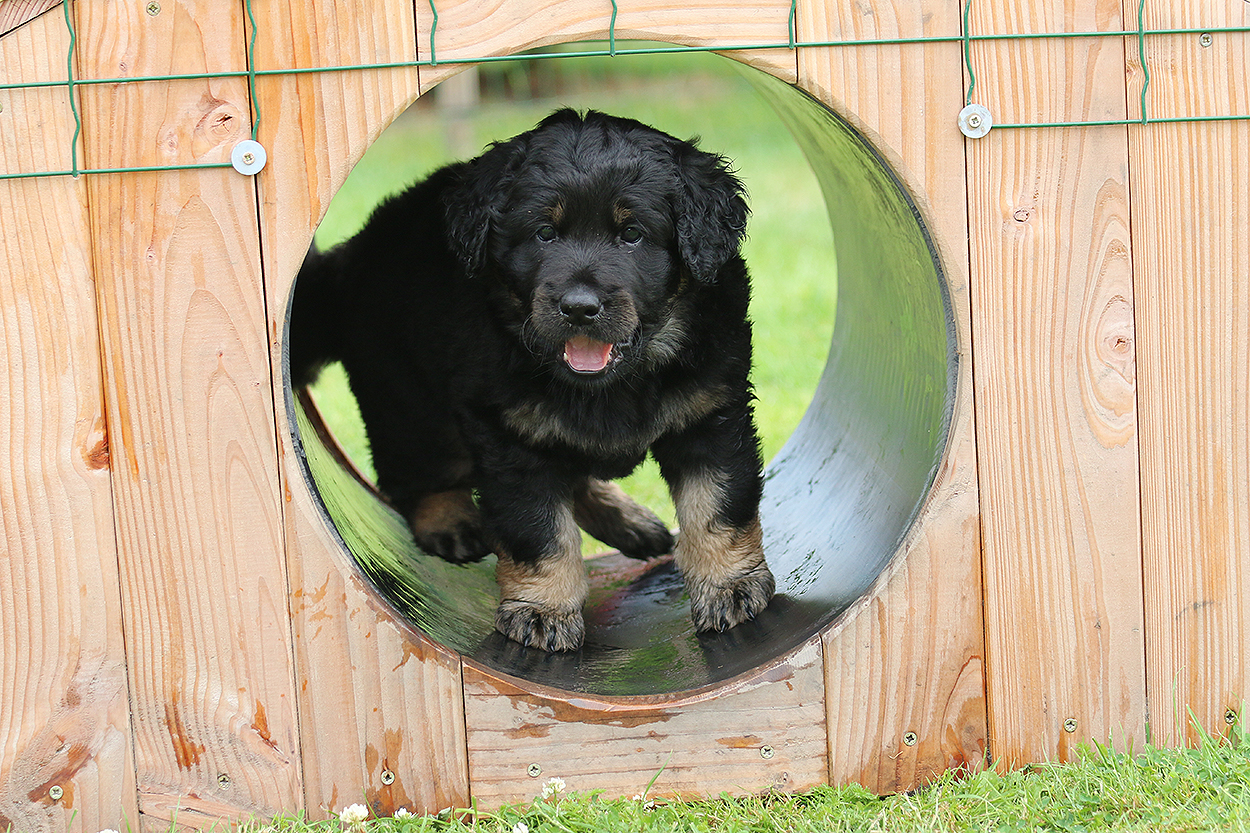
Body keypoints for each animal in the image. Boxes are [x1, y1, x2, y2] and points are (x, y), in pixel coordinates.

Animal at [290, 109, 774, 651]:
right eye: (545, 233)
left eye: (632, 234)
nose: (580, 308)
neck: (611, 383)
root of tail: (353, 258)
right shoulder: (509, 436)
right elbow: (536, 529)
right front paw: (542, 611)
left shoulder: (712, 414)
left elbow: (718, 507)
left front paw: (730, 586)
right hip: (408, 401)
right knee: (415, 475)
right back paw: (451, 520)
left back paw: (628, 521)